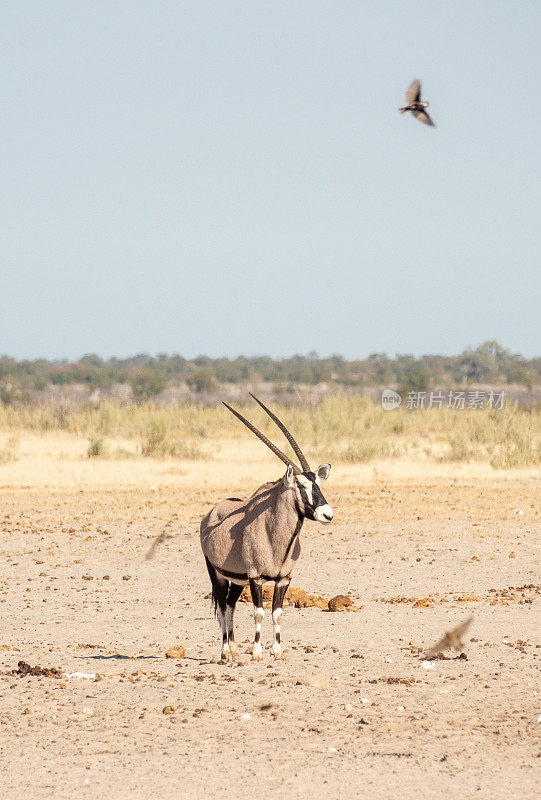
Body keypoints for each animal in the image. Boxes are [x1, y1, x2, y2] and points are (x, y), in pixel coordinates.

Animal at [199, 394, 334, 664]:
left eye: (318, 483)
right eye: (301, 485)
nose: (327, 514)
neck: (275, 536)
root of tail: (211, 514)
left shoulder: (284, 579)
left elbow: (277, 612)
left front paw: (278, 651)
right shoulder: (256, 577)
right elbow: (259, 612)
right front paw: (258, 651)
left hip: (236, 580)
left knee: (230, 605)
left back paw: (233, 649)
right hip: (217, 574)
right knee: (222, 607)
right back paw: (225, 652)